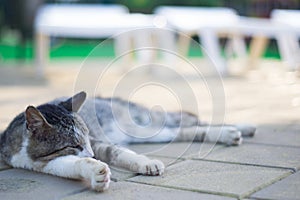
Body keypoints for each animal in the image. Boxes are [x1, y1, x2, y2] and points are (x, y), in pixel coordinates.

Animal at [0, 91, 255, 191]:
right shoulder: (44, 163)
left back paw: (242, 127)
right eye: (73, 144)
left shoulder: (98, 142)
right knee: (186, 130)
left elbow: (118, 153)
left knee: (188, 122)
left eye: (86, 139)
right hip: (147, 132)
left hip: (146, 123)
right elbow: (70, 165)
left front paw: (145, 164)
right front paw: (94, 173)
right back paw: (231, 133)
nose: (92, 155)